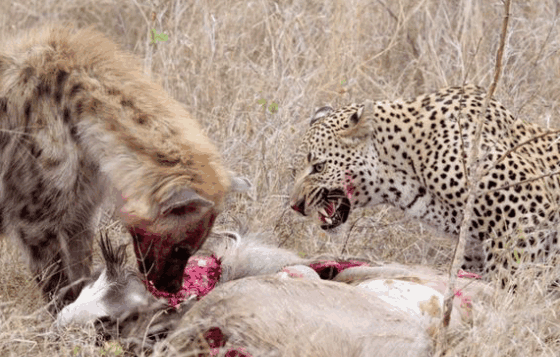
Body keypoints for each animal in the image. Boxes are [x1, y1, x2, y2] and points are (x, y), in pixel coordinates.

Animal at [0, 25, 240, 308]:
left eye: (194, 247)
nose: (172, 287)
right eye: (181, 248)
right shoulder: (35, 221)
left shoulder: (81, 211)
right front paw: (65, 313)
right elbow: (56, 283)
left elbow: (80, 267)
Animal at [290, 85, 560, 286]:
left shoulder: (527, 216)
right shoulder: (473, 245)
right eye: (295, 170)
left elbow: (506, 279)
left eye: (318, 167)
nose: (296, 205)